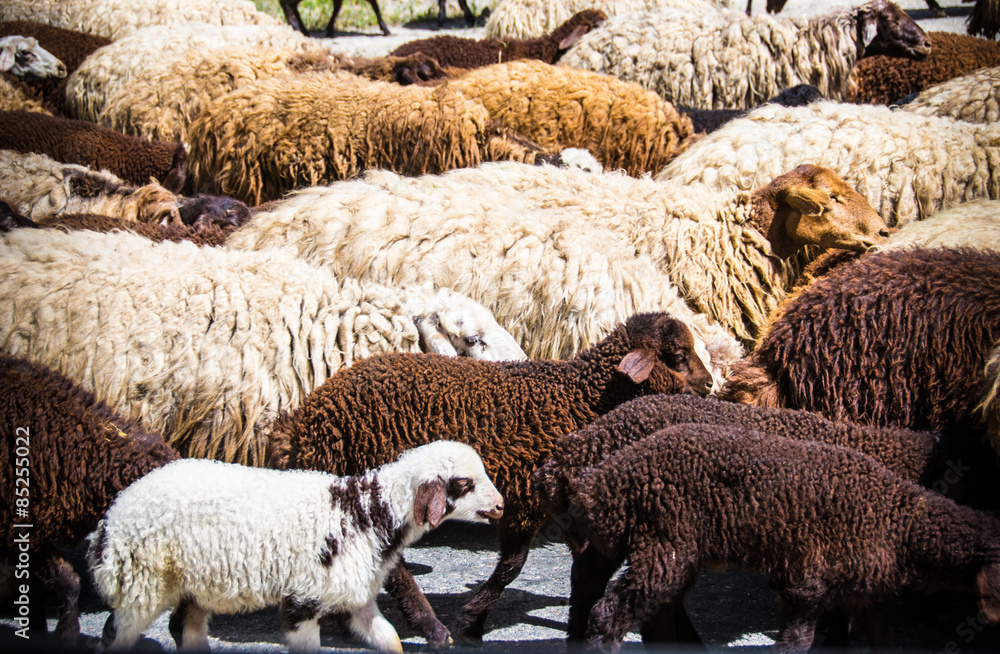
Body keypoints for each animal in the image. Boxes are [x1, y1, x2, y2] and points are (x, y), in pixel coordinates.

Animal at [89, 441, 505, 652]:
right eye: (463, 483)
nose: (502, 506)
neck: (363, 510)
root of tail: (111, 519)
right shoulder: (303, 598)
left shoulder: (354, 594)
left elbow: (389, 640)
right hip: (144, 581)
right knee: (118, 633)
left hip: (196, 582)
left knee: (183, 627)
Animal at [266, 310, 714, 646]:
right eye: (677, 356)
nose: (710, 384)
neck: (578, 400)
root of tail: (304, 424)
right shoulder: (524, 499)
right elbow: (512, 566)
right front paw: (472, 620)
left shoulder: (561, 504)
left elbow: (585, 564)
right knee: (391, 565)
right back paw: (431, 628)